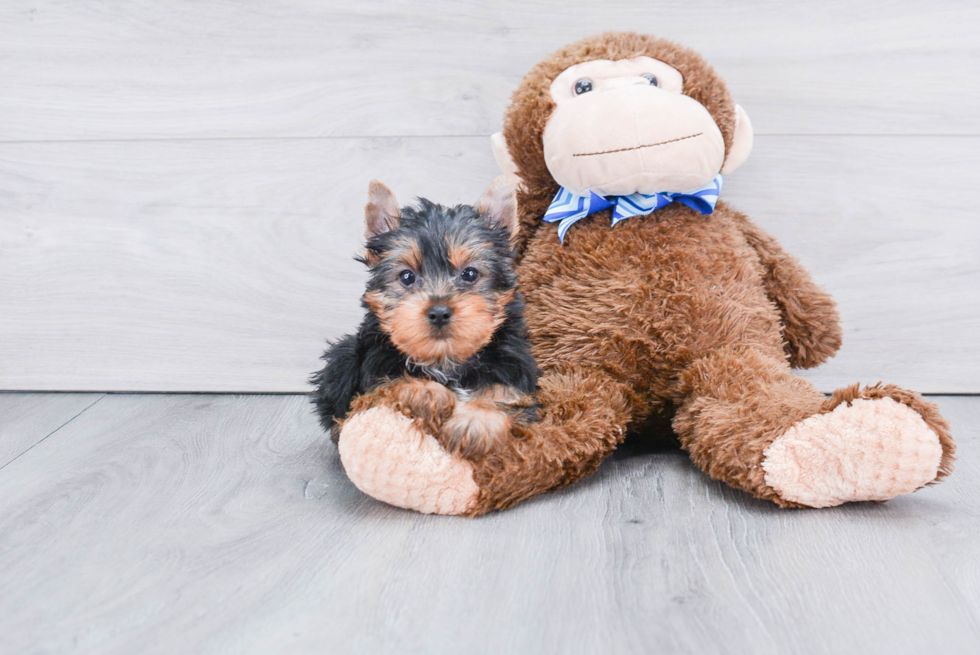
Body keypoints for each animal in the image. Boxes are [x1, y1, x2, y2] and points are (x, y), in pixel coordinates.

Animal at [314, 177, 540, 458]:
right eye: (407, 277)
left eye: (470, 274)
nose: (439, 312)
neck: (445, 360)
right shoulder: (376, 359)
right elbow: (389, 378)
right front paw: (426, 392)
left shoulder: (514, 363)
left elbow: (505, 391)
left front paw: (476, 420)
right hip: (343, 356)